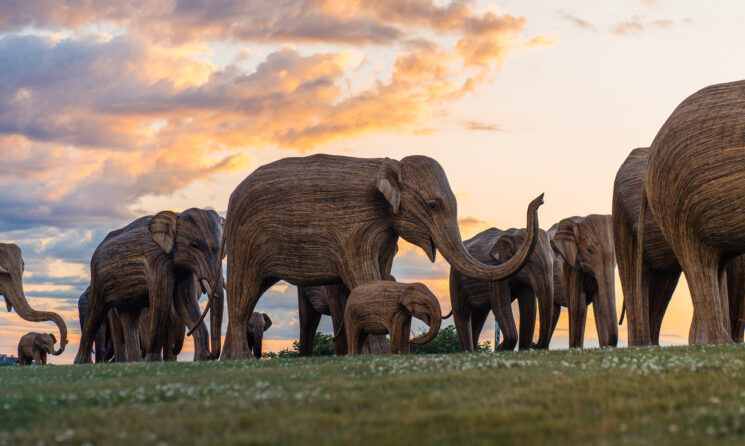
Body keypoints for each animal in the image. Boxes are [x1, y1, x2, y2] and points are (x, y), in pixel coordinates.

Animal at [212, 155, 544, 360]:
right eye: (432, 205)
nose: (540, 197)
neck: (389, 164)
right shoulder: (354, 229)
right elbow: (361, 274)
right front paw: (381, 353)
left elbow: (381, 273)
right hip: (245, 241)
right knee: (243, 293)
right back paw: (239, 359)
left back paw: (230, 360)